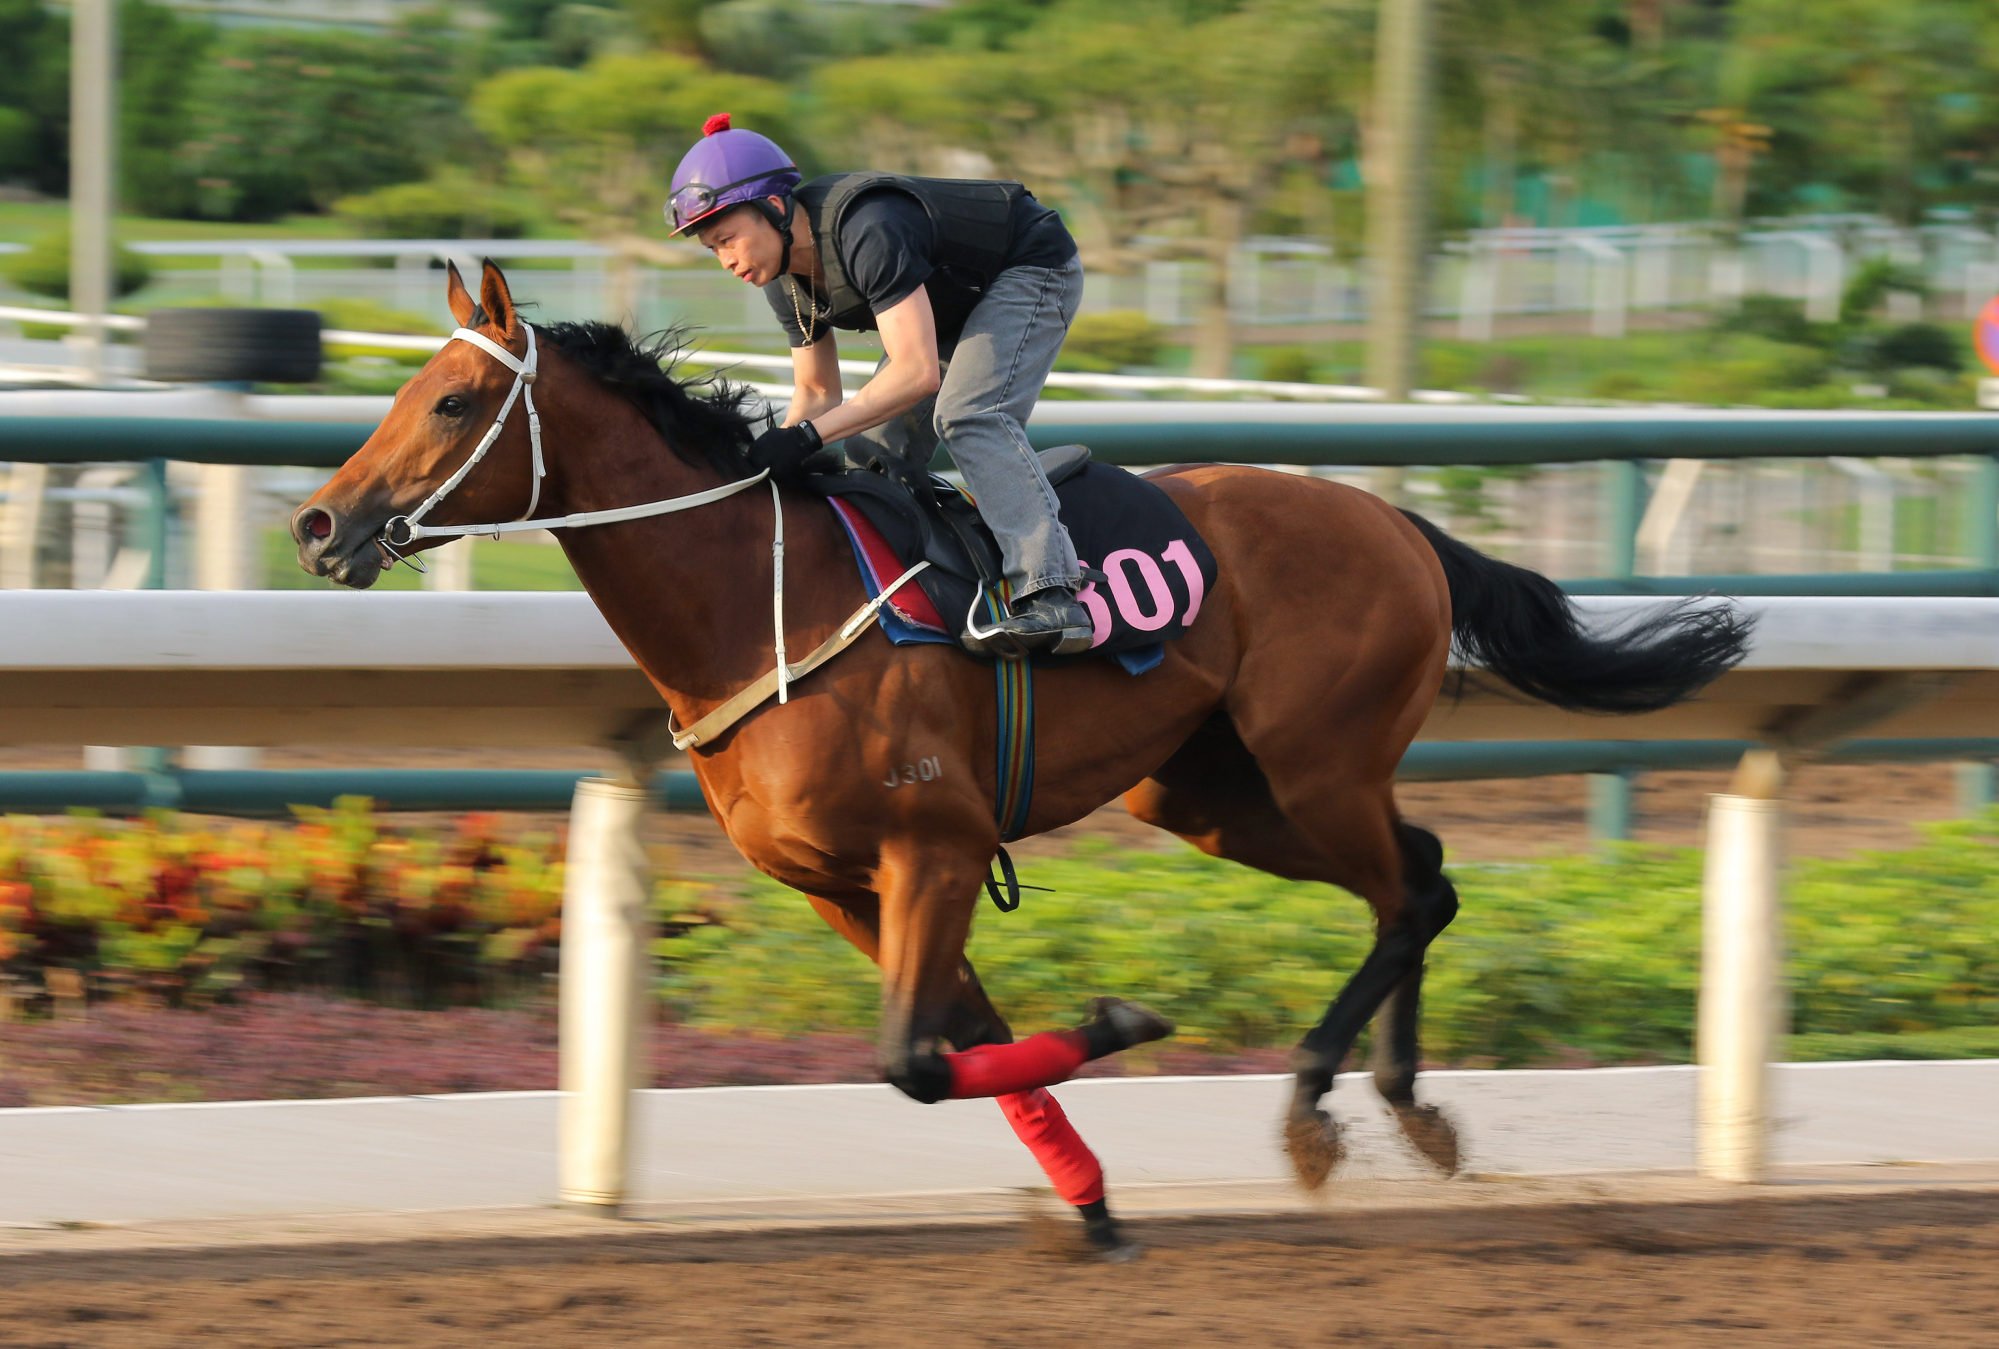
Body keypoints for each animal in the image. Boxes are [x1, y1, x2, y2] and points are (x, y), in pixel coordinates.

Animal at [289, 261, 1743, 1255]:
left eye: (455, 399)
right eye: (404, 388)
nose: (318, 524)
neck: (756, 602)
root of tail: (1393, 518)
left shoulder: (928, 849)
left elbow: (919, 1060)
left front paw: (1120, 1024)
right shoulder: (840, 885)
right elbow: (961, 1045)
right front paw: (1088, 1201)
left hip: (1315, 766)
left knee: (1414, 890)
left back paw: (1319, 1107)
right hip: (1216, 796)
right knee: (1419, 875)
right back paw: (1399, 1105)